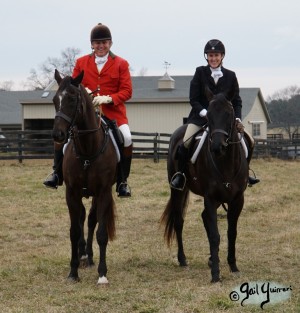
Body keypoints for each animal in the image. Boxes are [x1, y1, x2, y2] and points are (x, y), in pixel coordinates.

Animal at [51, 69, 117, 284]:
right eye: (55, 100)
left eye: (72, 99)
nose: (58, 134)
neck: (88, 150)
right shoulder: (71, 193)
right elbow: (74, 231)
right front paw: (73, 272)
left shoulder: (104, 192)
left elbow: (101, 232)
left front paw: (102, 274)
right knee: (81, 218)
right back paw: (82, 255)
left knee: (90, 220)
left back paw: (88, 256)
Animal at [162, 89, 248, 282]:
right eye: (208, 115)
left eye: (229, 113)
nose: (217, 147)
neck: (225, 163)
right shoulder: (210, 197)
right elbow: (215, 235)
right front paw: (215, 274)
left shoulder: (237, 199)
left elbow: (232, 232)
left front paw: (233, 266)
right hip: (177, 190)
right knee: (179, 221)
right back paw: (183, 259)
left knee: (203, 218)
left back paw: (210, 259)